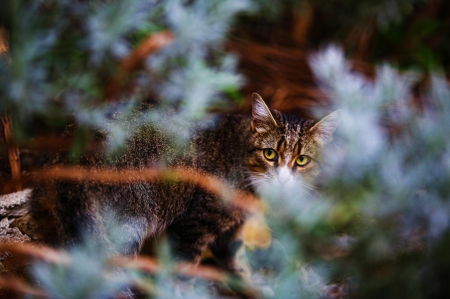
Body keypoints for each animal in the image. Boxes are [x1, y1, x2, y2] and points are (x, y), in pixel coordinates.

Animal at [29, 92, 340, 282]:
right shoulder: (194, 225)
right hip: (129, 221)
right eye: (270, 154)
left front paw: (244, 276)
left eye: (302, 160)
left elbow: (232, 253)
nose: (283, 178)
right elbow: (185, 268)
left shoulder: (233, 225)